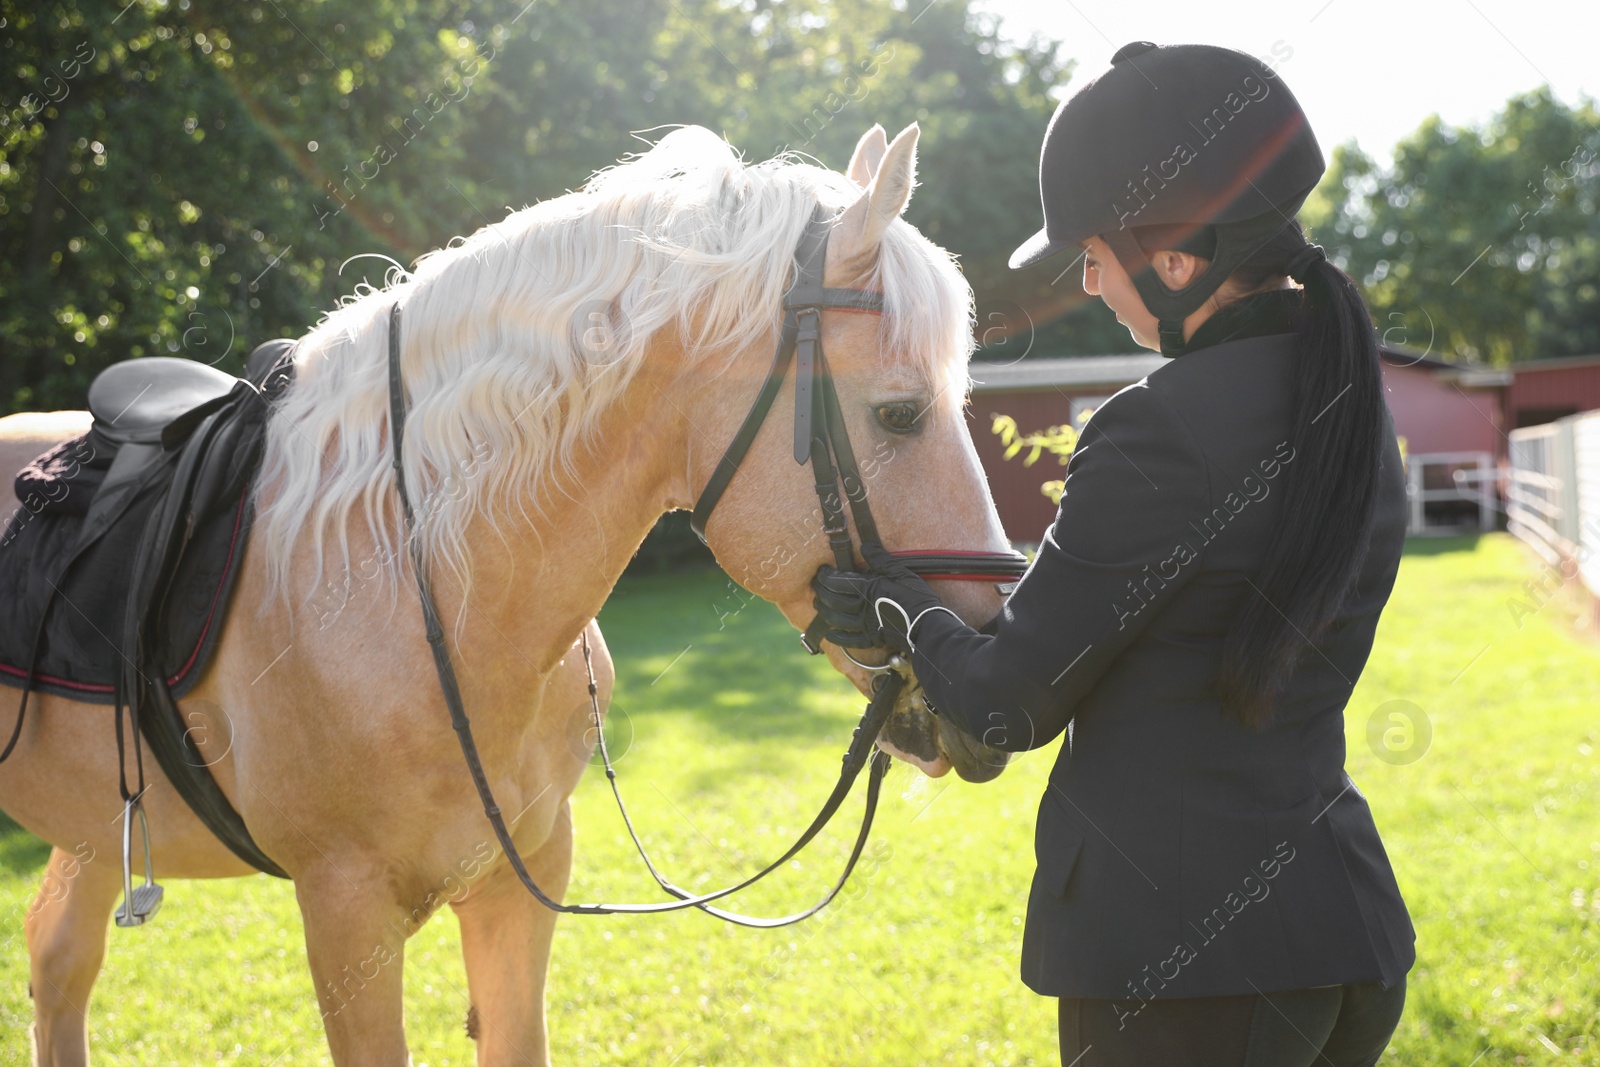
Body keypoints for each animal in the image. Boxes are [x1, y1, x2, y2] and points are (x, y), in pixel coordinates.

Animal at [0, 122, 1015, 1065]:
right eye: (899, 413)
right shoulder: (344, 912)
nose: (987, 669)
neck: (407, 580)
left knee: (58, 958)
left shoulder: (520, 881)